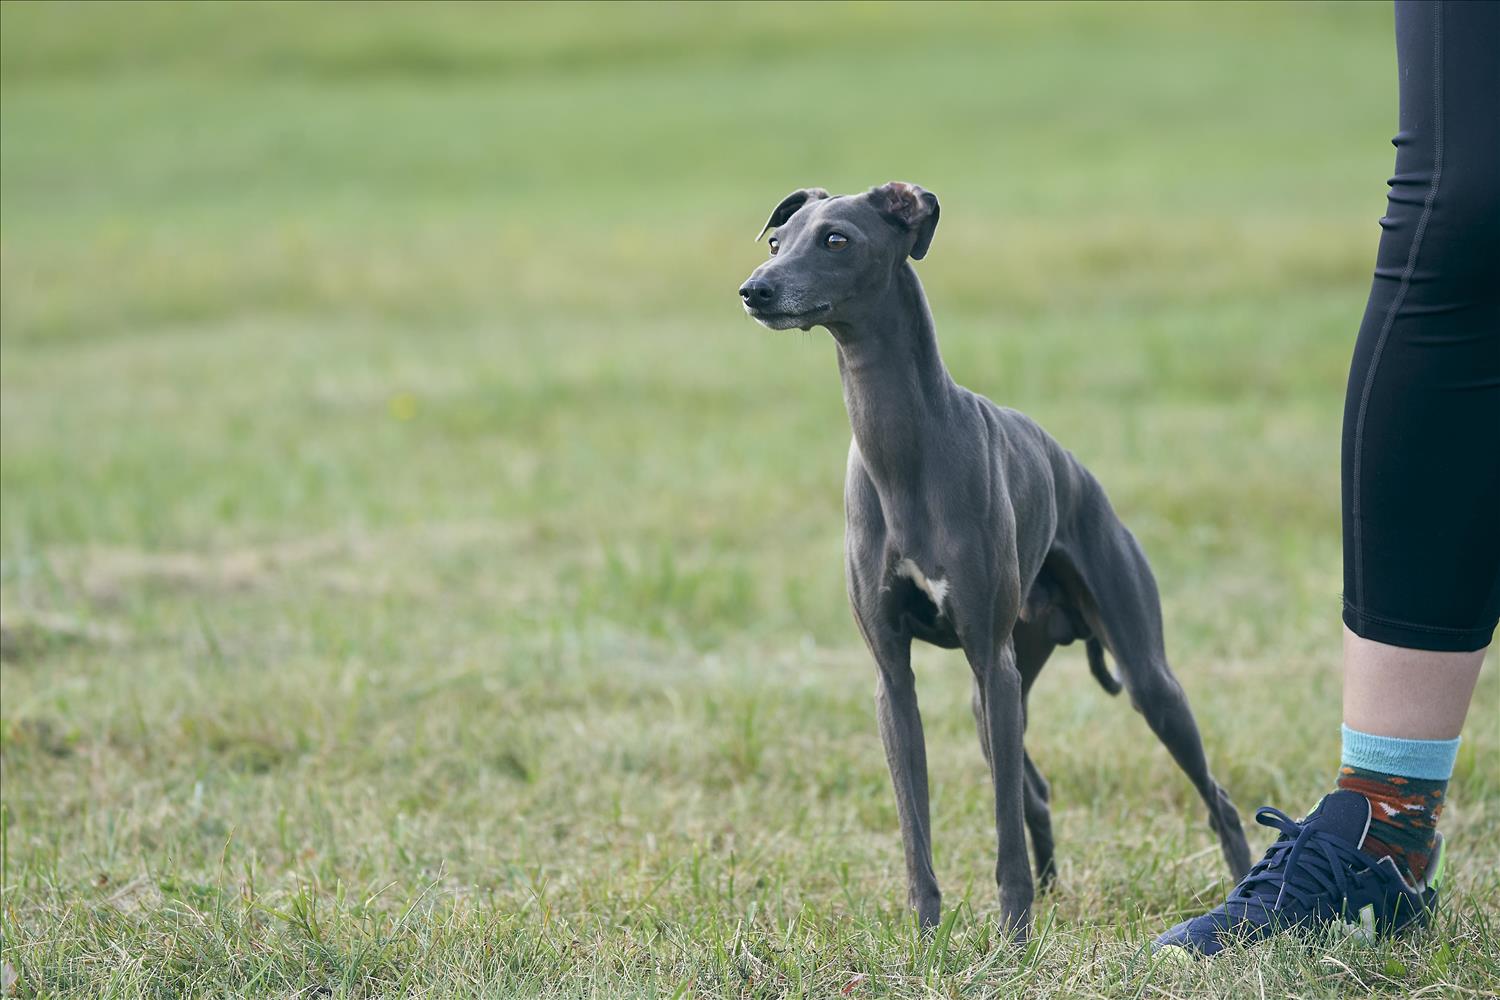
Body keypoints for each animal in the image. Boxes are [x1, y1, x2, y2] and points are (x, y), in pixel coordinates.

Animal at [738, 182, 1252, 938]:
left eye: (836, 240)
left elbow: (1003, 828)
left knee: (1213, 795)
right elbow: (915, 821)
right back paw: (1056, 891)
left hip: (1137, 677)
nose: (756, 290)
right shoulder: (893, 678)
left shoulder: (989, 658)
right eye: (778, 241)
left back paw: (1241, 894)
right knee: (1034, 790)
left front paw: (1012, 937)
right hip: (1002, 686)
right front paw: (927, 934)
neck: (905, 451)